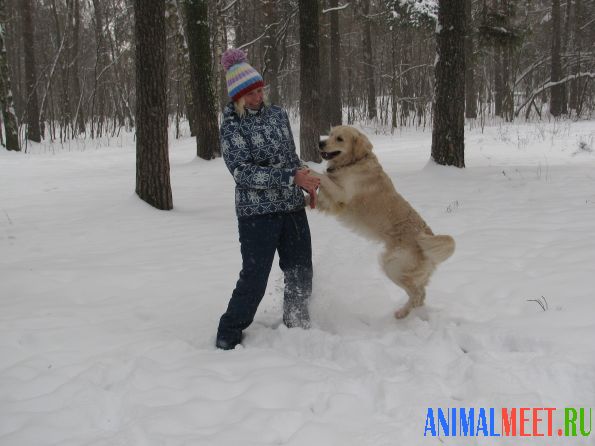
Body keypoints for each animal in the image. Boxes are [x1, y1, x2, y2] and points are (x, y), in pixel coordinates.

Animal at [310, 125, 454, 318]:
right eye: (330, 134)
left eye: (339, 139)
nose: (320, 142)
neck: (354, 162)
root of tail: (426, 236)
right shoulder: (330, 204)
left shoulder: (342, 194)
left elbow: (323, 177)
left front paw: (304, 168)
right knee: (421, 294)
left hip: (392, 266)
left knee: (416, 294)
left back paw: (401, 314)